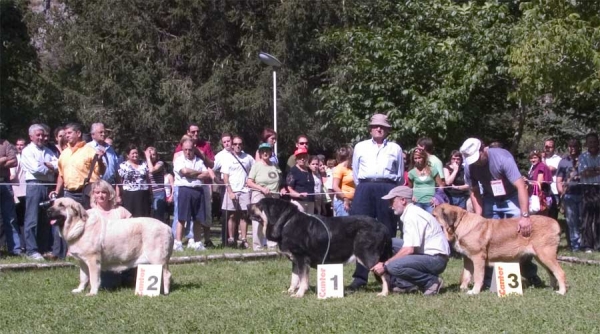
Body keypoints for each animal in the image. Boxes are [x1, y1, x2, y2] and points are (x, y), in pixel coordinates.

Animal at [432, 204, 568, 294]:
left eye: (434, 215)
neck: (460, 224)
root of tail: (555, 223)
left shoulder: (478, 258)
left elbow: (478, 276)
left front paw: (474, 291)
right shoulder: (468, 259)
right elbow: (466, 275)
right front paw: (463, 289)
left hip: (545, 255)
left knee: (560, 272)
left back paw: (561, 292)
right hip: (540, 257)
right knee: (551, 272)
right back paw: (551, 288)